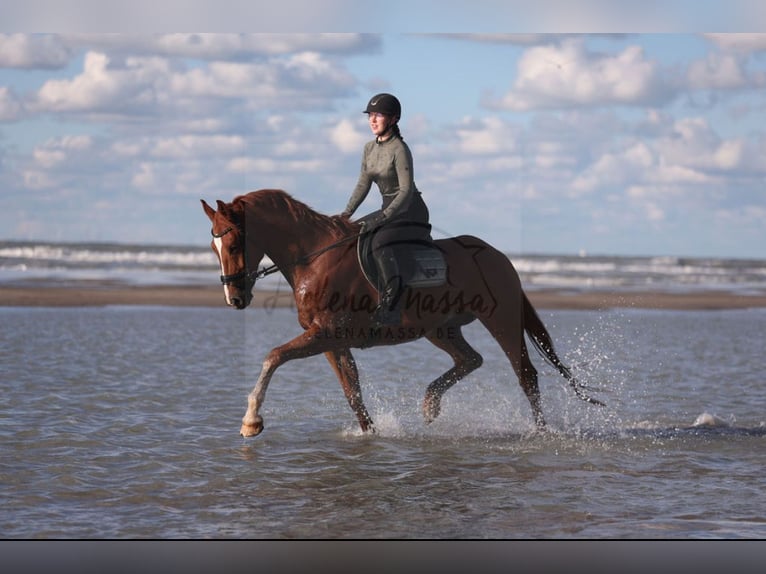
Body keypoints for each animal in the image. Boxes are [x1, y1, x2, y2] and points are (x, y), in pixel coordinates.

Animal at [201, 189, 603, 437]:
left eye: (233, 244)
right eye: (213, 246)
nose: (234, 299)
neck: (315, 259)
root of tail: (498, 256)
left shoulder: (325, 333)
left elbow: (273, 356)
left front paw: (251, 422)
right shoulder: (331, 340)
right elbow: (352, 391)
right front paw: (371, 434)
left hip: (501, 319)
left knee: (526, 375)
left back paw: (540, 432)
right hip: (441, 329)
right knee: (471, 359)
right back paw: (430, 405)